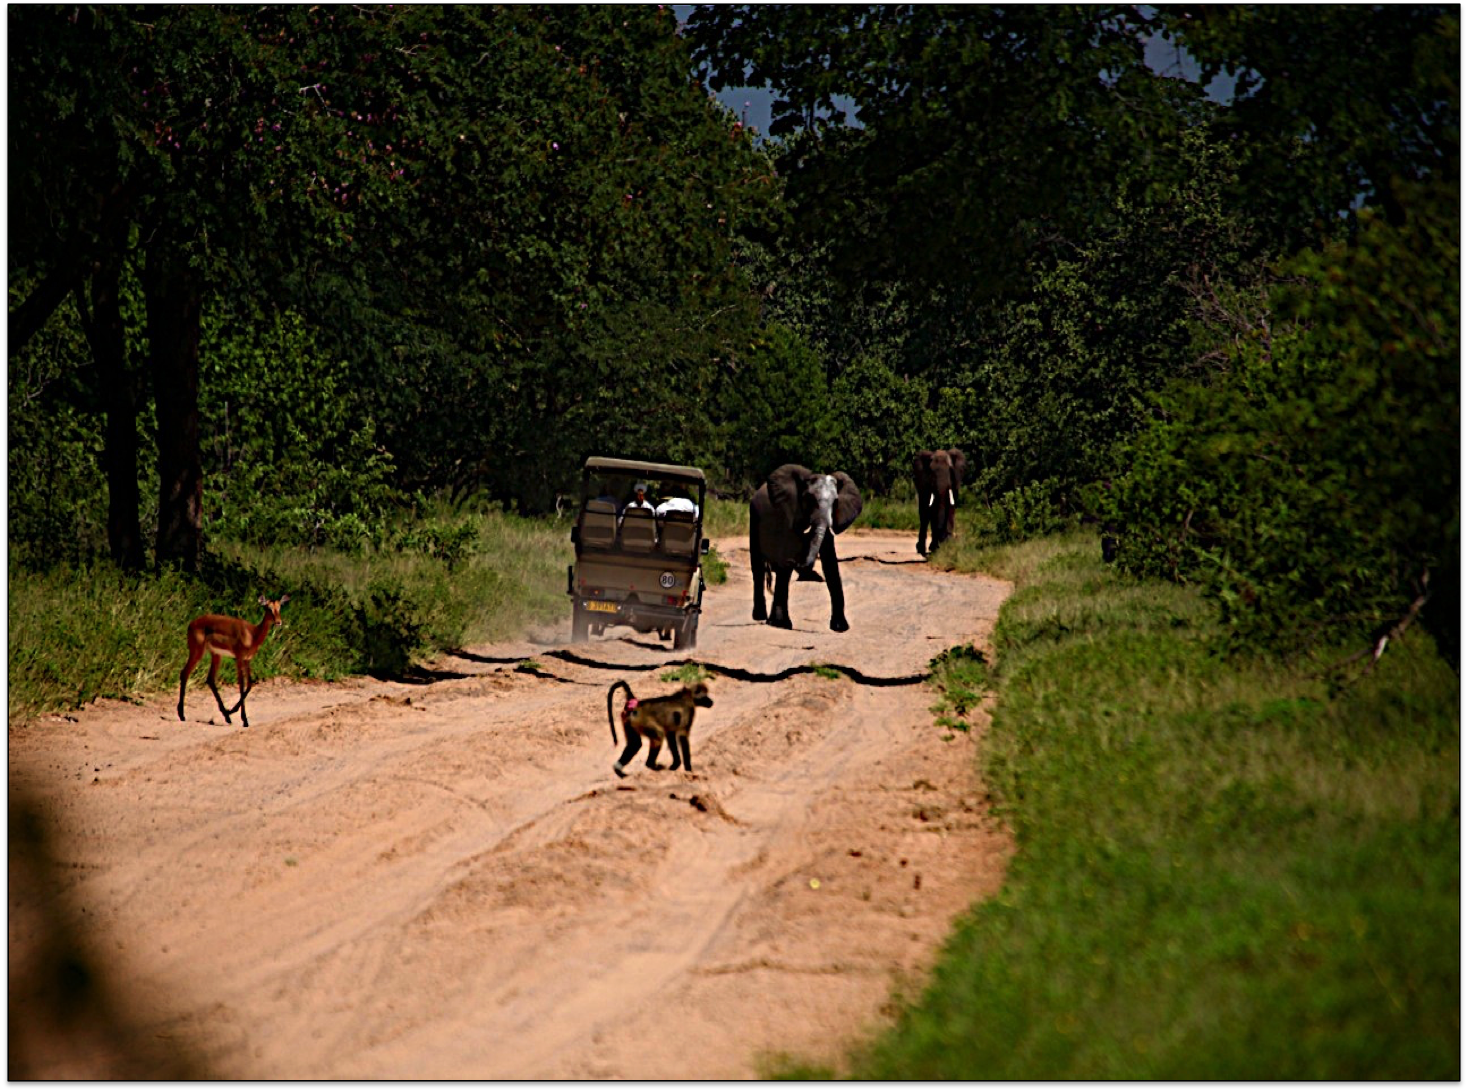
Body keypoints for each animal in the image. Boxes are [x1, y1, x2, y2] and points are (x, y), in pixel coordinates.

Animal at [751, 466, 863, 637]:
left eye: (835, 502)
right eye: (810, 499)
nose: (796, 562)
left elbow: (830, 564)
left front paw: (840, 628)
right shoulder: (787, 515)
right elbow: (785, 562)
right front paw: (781, 625)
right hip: (754, 518)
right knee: (758, 568)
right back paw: (760, 617)